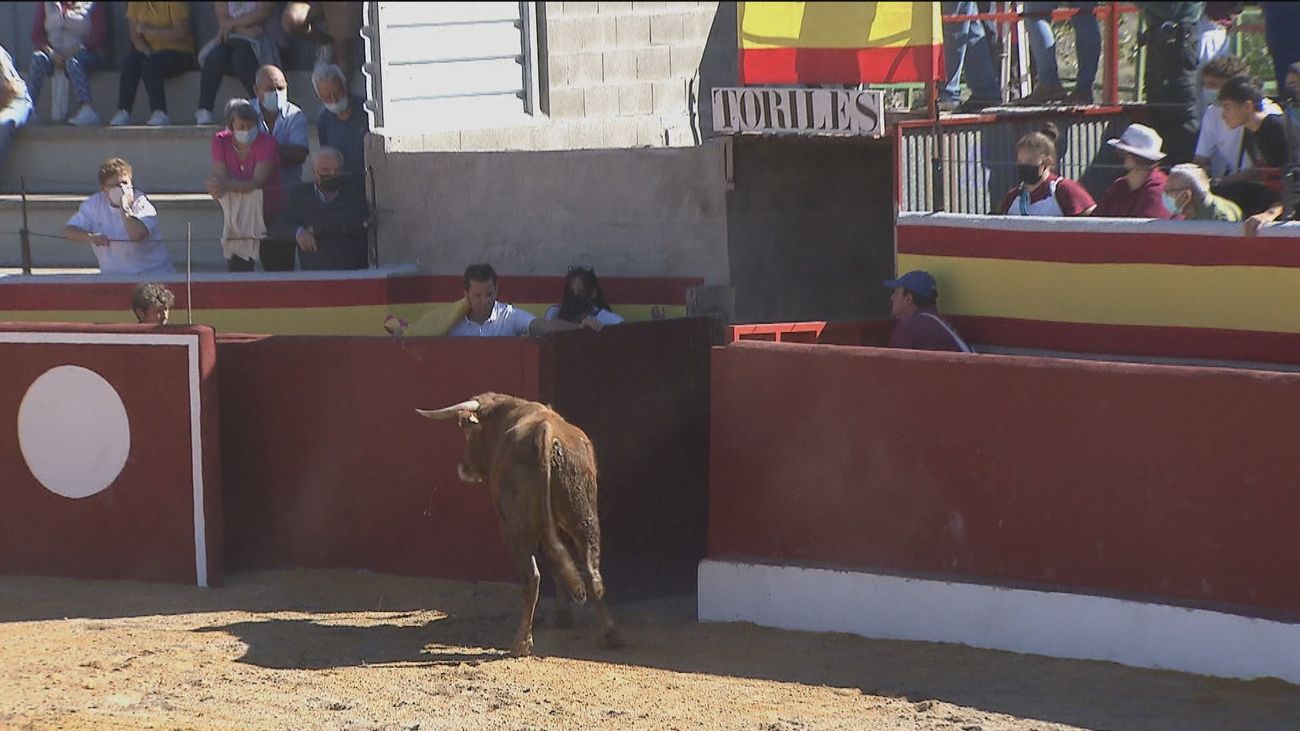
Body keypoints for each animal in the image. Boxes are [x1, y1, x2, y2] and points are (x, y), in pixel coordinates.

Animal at [416, 392, 618, 655]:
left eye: (468, 433)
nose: (463, 467)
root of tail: (546, 432)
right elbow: (558, 564)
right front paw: (563, 616)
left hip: (515, 530)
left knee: (532, 577)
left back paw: (521, 643)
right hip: (584, 520)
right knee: (591, 573)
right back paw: (610, 635)